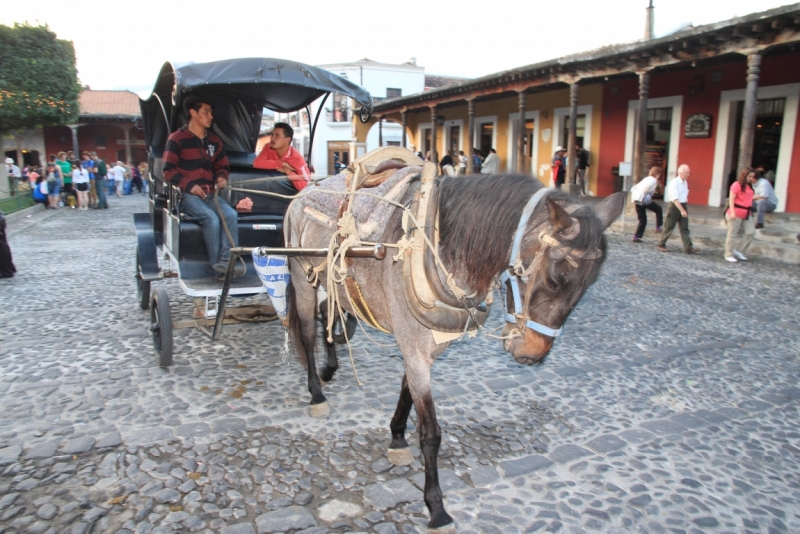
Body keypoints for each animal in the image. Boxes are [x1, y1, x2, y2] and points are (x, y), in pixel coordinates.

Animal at [282, 171, 624, 532]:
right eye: (555, 280)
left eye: (588, 286)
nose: (532, 353)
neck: (435, 244)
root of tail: (306, 190)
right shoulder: (416, 350)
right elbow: (431, 433)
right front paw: (436, 506)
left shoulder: (420, 349)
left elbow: (407, 392)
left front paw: (397, 437)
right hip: (302, 276)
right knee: (308, 332)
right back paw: (316, 393)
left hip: (327, 281)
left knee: (328, 315)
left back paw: (329, 368)